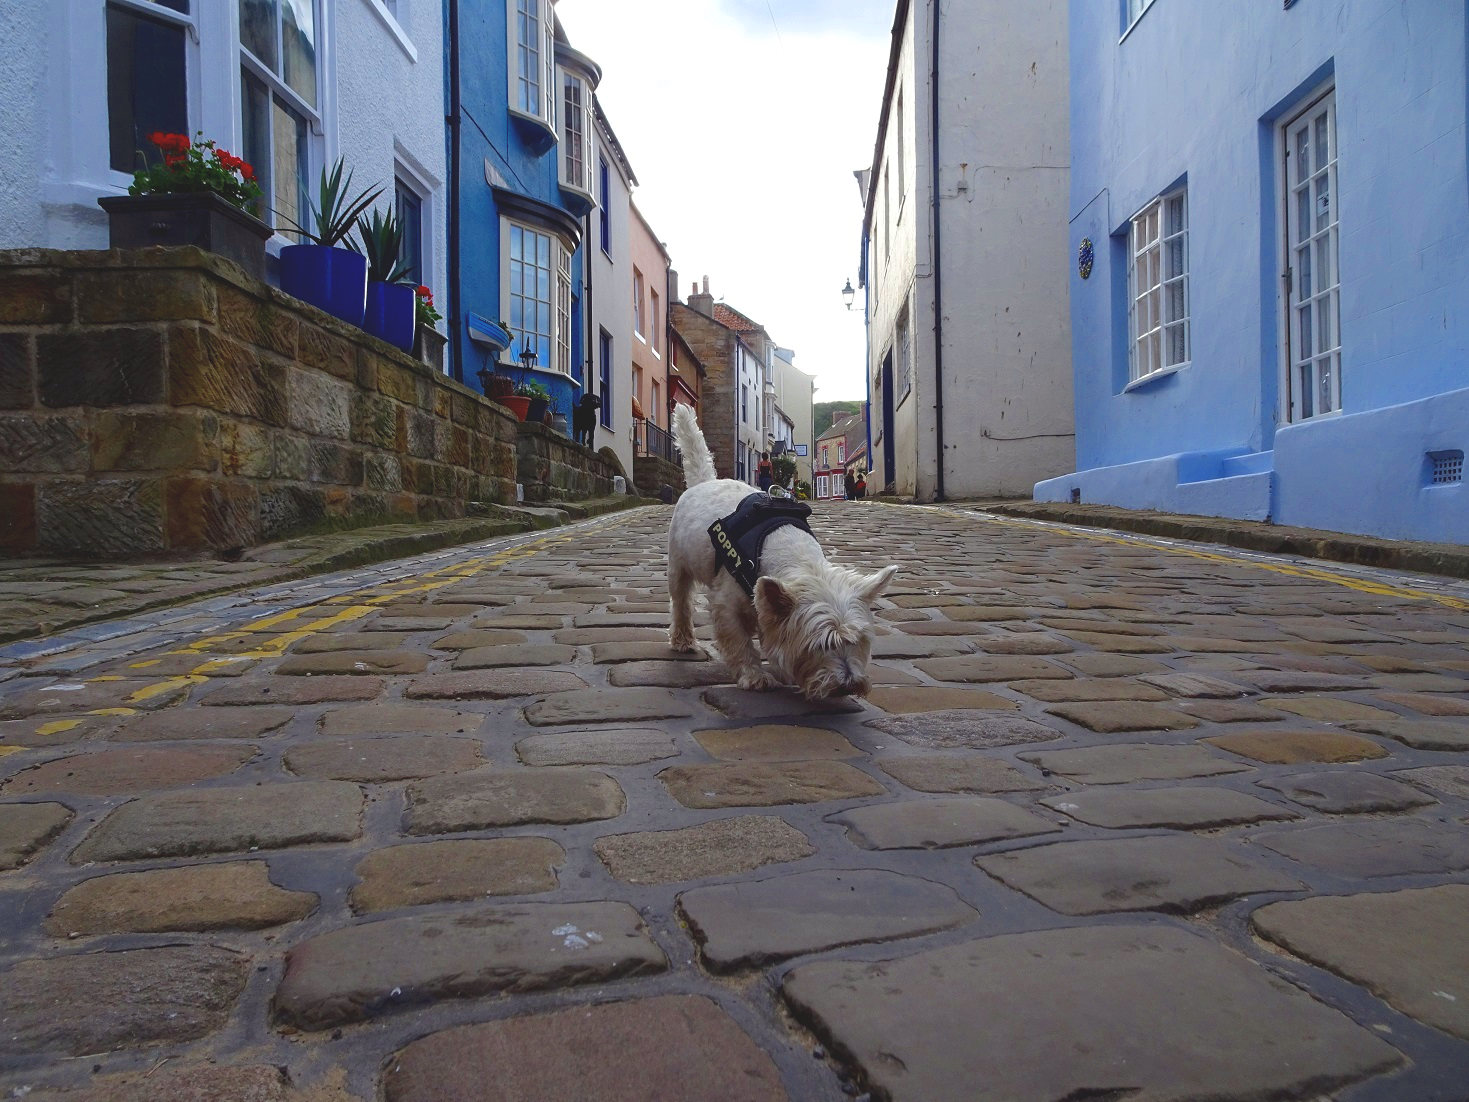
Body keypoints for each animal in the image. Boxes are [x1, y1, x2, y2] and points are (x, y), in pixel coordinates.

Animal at [666, 405, 893, 699]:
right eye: (820, 645)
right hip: (678, 565)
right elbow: (739, 641)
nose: (847, 686)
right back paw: (682, 640)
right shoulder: (727, 604)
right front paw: (755, 676)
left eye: (858, 640)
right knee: (680, 601)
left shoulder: (767, 606)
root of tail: (703, 482)